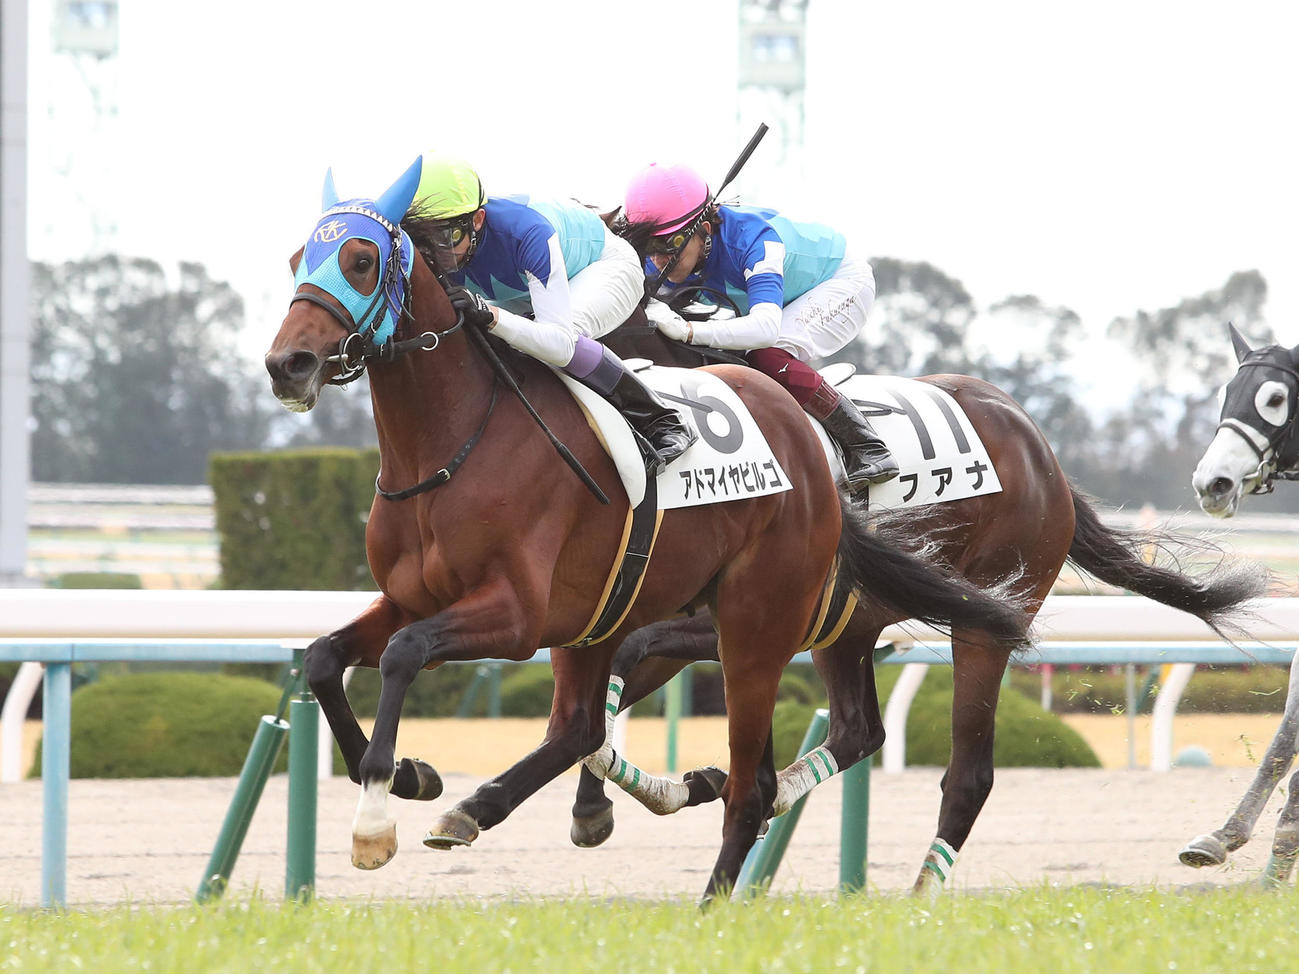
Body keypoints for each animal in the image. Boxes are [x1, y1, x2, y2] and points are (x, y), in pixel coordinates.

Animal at [263, 157, 1035, 903]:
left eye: (362, 259)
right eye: (300, 256)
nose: (286, 365)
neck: (452, 444)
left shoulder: (516, 616)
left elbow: (403, 653)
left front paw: (375, 817)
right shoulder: (417, 598)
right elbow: (326, 658)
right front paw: (412, 776)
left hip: (790, 627)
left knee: (817, 777)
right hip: (690, 620)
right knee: (617, 726)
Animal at [564, 319, 1268, 894]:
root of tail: (1043, 451)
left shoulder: (740, 623)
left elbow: (624, 662)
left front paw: (625, 800)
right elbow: (613, 676)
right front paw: (631, 796)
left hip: (986, 620)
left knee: (967, 772)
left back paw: (918, 892)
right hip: (848, 628)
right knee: (859, 730)